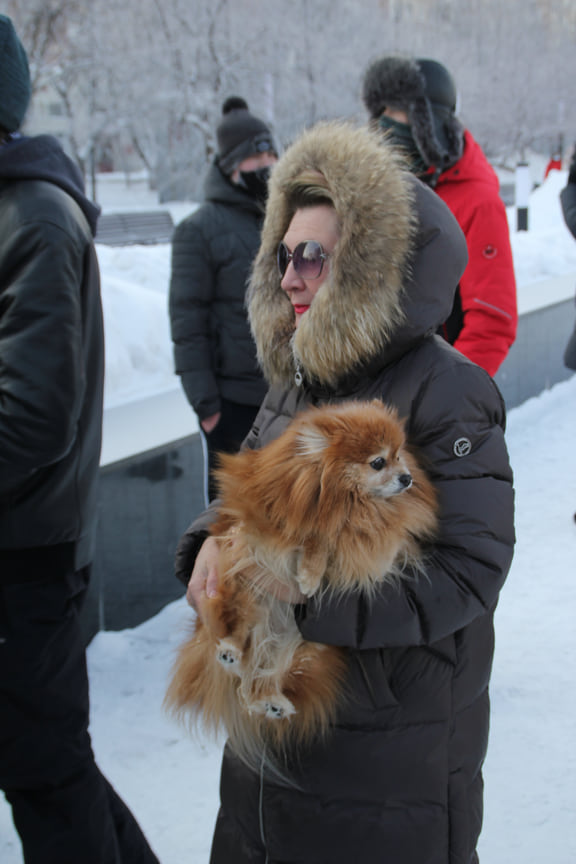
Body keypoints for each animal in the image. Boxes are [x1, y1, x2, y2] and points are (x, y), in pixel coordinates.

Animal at [165, 402, 436, 772]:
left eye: (399, 454)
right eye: (378, 462)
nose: (407, 478)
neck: (346, 497)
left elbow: (359, 541)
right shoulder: (273, 521)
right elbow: (315, 537)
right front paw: (308, 575)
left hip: (302, 648)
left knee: (251, 687)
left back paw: (273, 702)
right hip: (242, 596)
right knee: (234, 637)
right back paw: (230, 651)